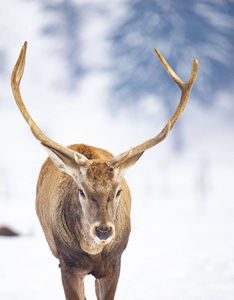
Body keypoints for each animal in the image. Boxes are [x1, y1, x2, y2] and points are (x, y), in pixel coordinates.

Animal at [11, 42, 197, 300]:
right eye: (81, 191)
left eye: (118, 191)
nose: (103, 231)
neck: (94, 254)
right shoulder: (67, 265)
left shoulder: (114, 265)